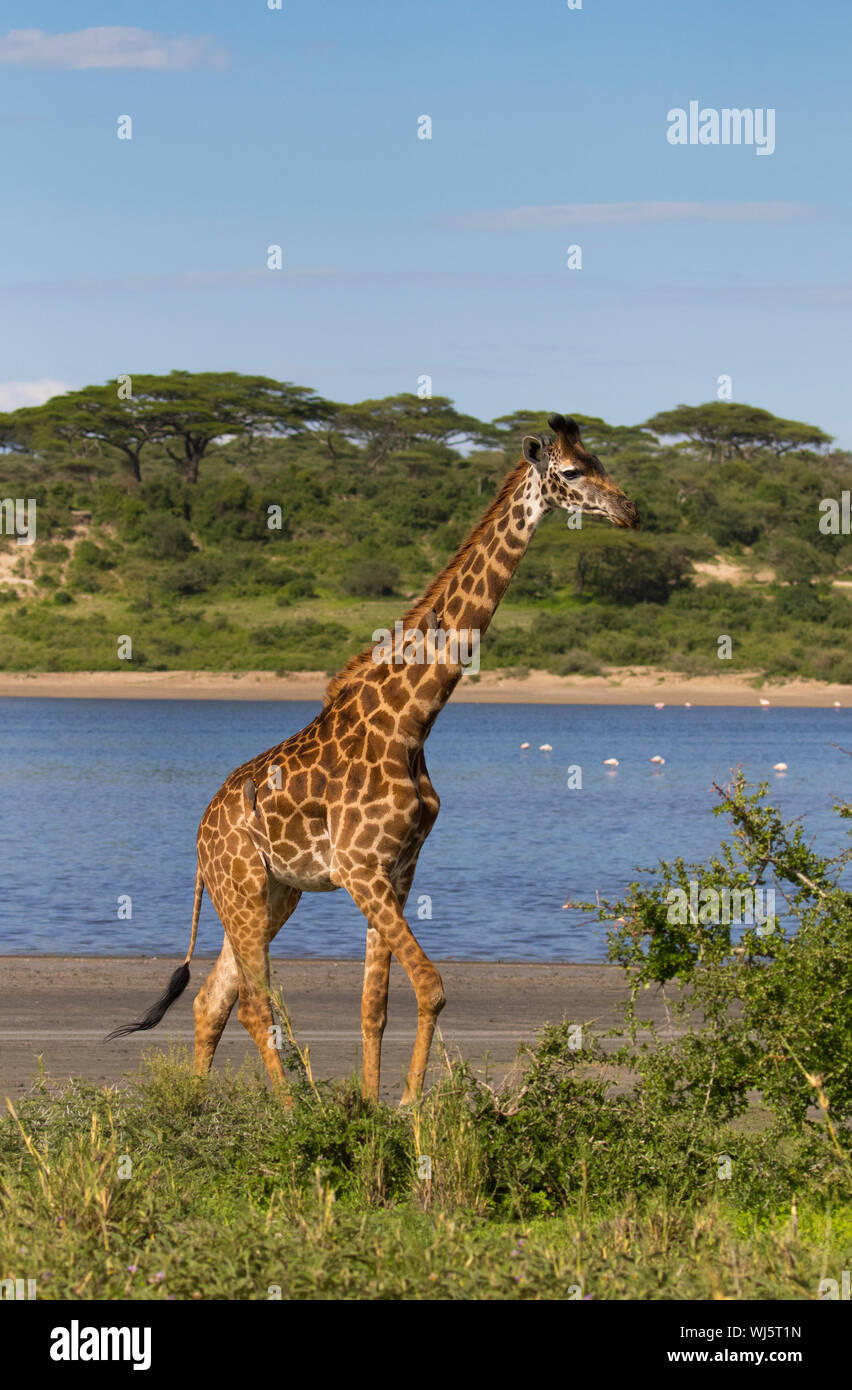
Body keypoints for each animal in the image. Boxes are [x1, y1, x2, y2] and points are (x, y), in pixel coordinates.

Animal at [106, 414, 640, 1102]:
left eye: (600, 460)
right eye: (572, 471)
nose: (629, 510)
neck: (411, 723)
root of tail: (199, 837)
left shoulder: (398, 869)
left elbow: (375, 1005)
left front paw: (373, 1104)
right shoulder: (361, 869)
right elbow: (431, 987)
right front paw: (409, 1107)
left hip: (274, 894)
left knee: (212, 1000)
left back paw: (194, 1115)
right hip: (242, 888)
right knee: (251, 1003)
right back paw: (289, 1113)